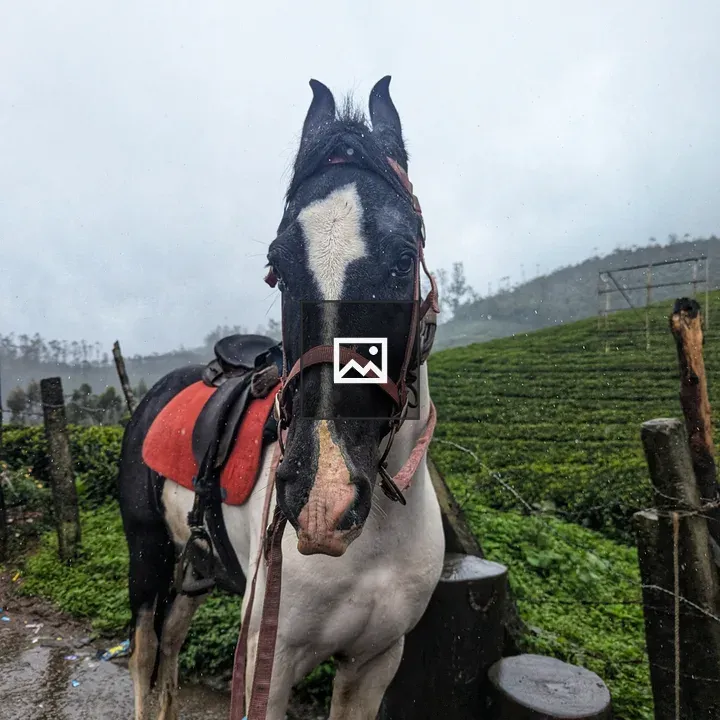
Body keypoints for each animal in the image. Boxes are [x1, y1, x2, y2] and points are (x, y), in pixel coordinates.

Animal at [117, 75, 445, 720]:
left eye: (404, 257)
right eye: (278, 263)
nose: (322, 501)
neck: (376, 543)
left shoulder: (376, 661)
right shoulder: (268, 665)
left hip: (195, 570)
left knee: (170, 644)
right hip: (147, 556)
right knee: (145, 654)